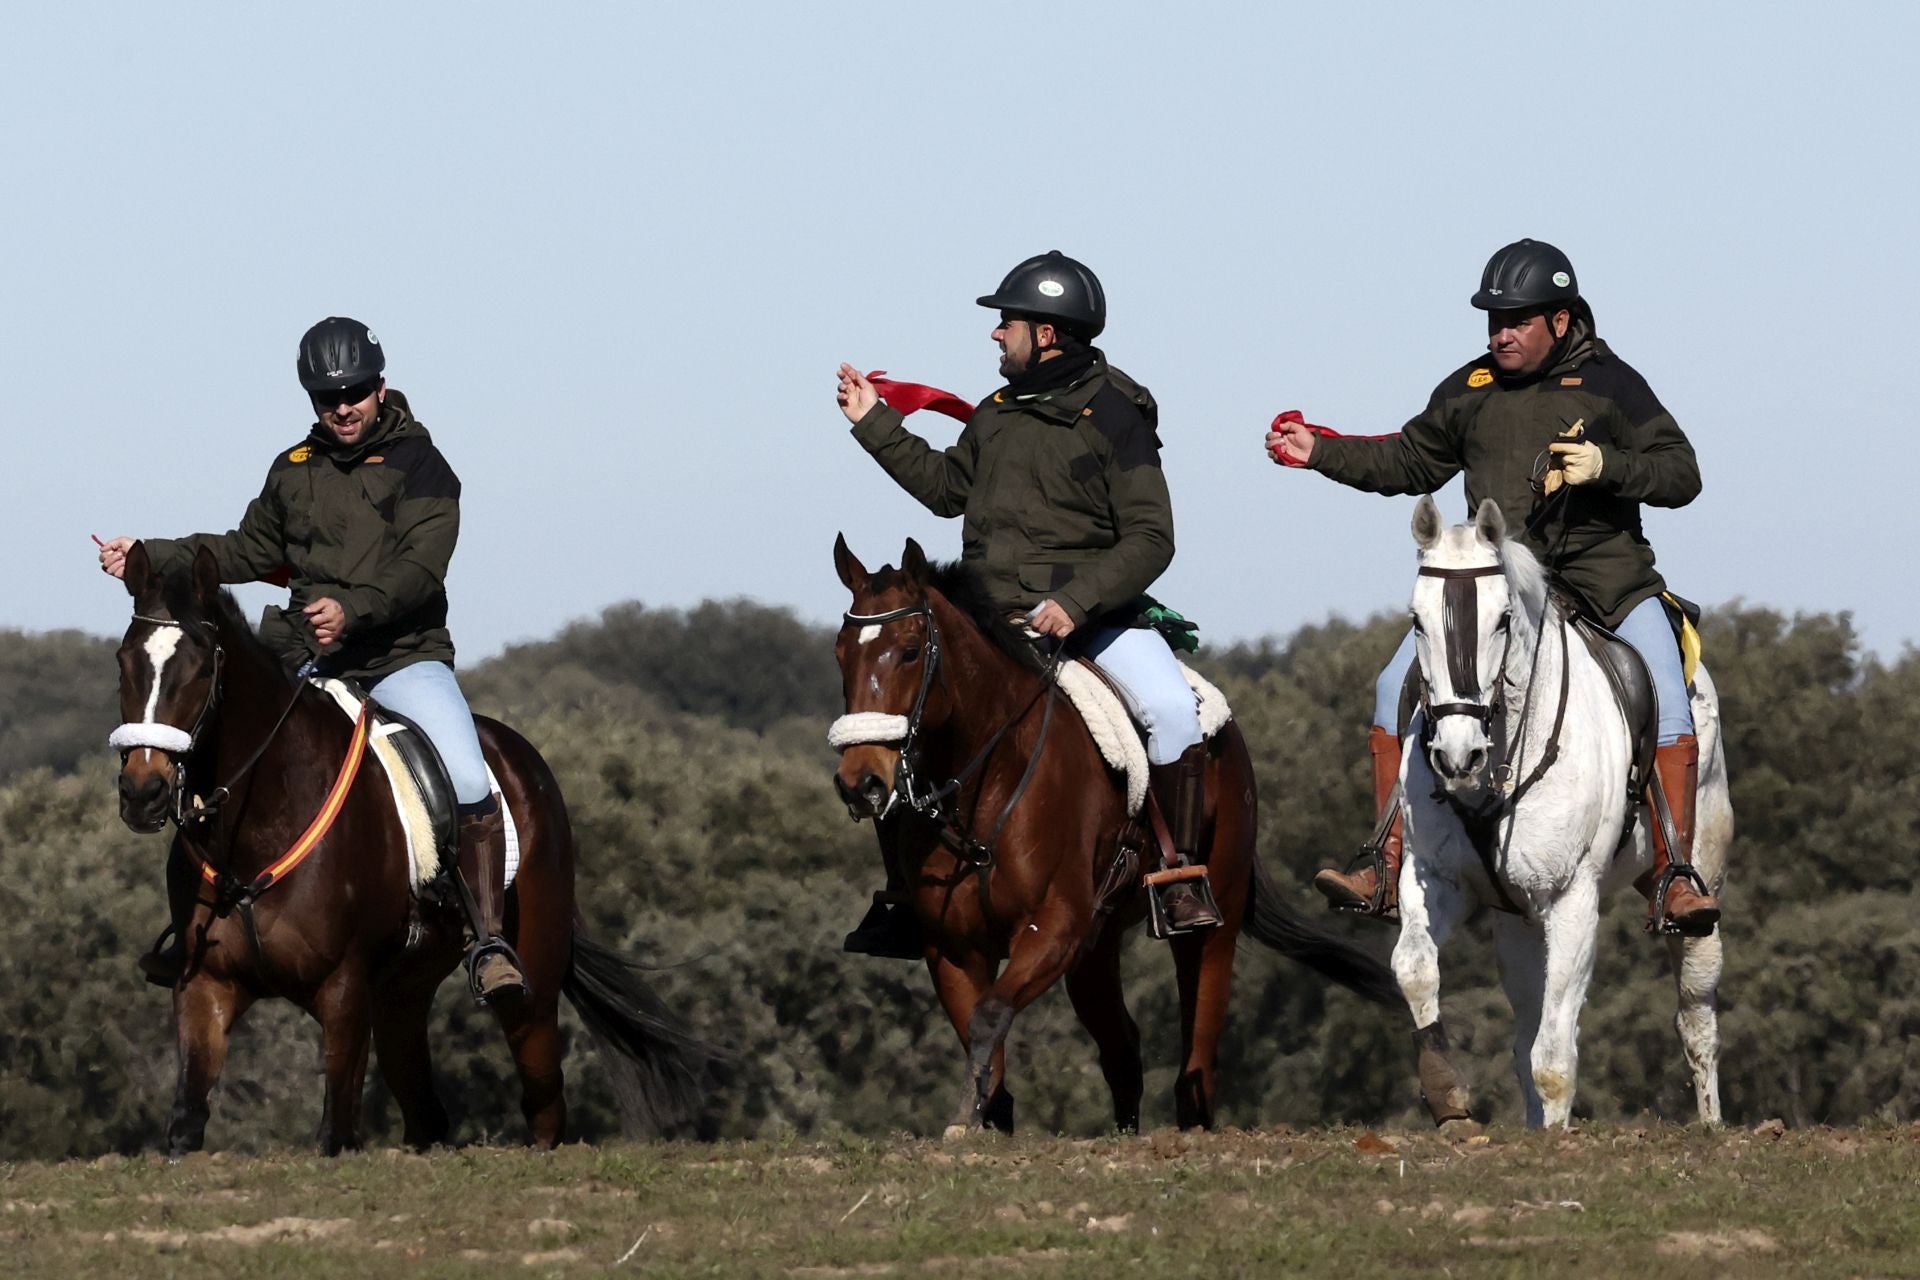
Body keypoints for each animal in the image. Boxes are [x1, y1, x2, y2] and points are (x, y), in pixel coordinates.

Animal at [108, 545, 706, 1159]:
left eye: (202, 668)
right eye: (124, 662)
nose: (143, 792)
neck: (256, 828)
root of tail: (527, 763)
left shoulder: (343, 990)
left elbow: (336, 1131)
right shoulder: (206, 986)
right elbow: (187, 1119)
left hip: (531, 992)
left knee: (544, 1102)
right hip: (401, 997)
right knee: (427, 1114)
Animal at [825, 537, 1397, 1136]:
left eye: (911, 651)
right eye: (841, 653)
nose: (860, 783)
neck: (988, 786)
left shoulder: (1053, 928)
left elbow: (989, 1018)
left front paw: (964, 1120)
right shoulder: (955, 948)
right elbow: (984, 1036)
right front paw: (986, 1119)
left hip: (1209, 929)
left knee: (1197, 1059)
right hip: (1095, 953)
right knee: (1123, 1051)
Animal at [1390, 495, 1735, 1128]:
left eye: (1503, 618)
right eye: (1416, 620)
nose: (1457, 755)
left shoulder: (1572, 898)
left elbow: (1554, 1056)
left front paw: (1556, 1133)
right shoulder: (1435, 878)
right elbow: (1416, 968)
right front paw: (1447, 1095)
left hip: (1702, 881)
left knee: (1696, 1011)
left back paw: (1711, 1123)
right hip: (1516, 921)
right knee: (1525, 1023)